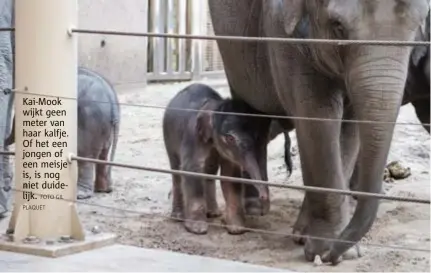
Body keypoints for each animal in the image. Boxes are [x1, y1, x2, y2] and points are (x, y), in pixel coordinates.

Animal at [5, 67, 121, 200]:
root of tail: (111, 99)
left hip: (90, 122)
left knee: (86, 155)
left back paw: (81, 194)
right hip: (104, 126)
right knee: (103, 153)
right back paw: (104, 190)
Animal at [164, 83, 272, 234]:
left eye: (255, 136)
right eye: (230, 138)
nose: (263, 196)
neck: (215, 106)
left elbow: (230, 175)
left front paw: (237, 229)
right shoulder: (192, 135)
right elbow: (192, 169)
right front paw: (198, 229)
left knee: (209, 171)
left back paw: (213, 213)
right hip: (168, 137)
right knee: (177, 172)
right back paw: (178, 217)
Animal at [208, 0, 430, 264]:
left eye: (416, 30)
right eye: (338, 27)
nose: (332, 254)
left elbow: (349, 127)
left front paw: (312, 240)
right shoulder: (280, 31)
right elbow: (317, 116)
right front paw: (324, 249)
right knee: (251, 113)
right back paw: (255, 208)